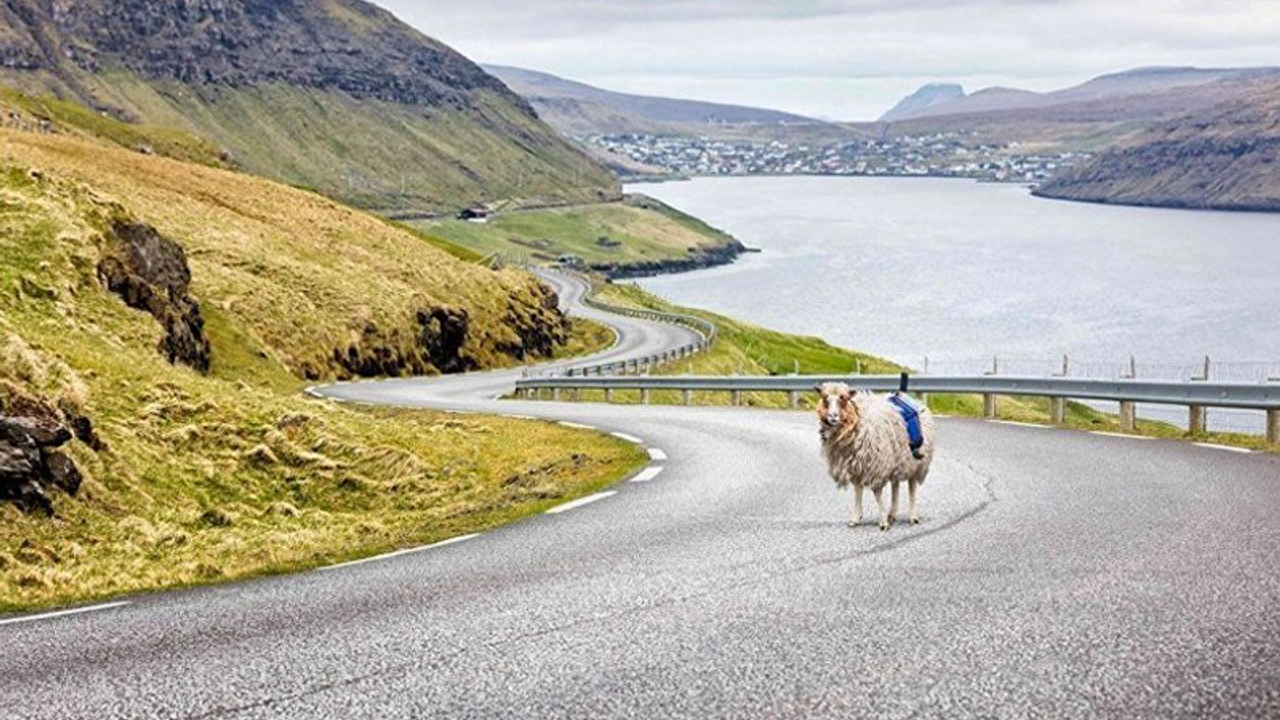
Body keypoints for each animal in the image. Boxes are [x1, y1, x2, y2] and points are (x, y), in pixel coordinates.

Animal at [814, 381, 936, 527]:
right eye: (825, 398)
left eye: (844, 398)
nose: (832, 416)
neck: (857, 419)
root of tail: (915, 400)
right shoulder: (855, 465)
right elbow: (857, 491)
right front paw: (856, 518)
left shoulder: (876, 465)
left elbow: (877, 494)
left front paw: (882, 522)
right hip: (897, 458)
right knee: (895, 485)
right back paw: (892, 514)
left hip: (916, 462)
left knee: (912, 486)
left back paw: (912, 516)